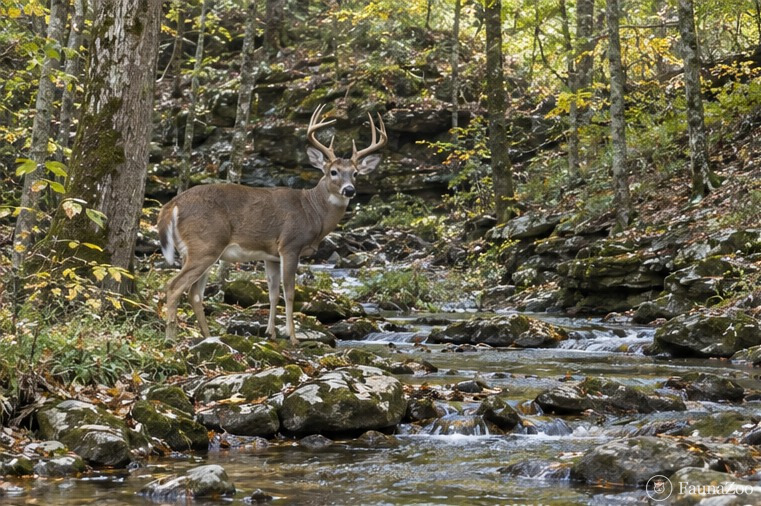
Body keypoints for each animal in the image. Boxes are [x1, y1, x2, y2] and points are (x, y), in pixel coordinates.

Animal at [157, 104, 387, 345]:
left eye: (355, 173)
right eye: (333, 172)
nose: (349, 190)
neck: (312, 211)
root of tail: (172, 204)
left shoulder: (271, 256)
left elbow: (273, 292)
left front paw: (271, 333)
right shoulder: (290, 245)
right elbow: (290, 292)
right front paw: (293, 337)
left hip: (200, 250)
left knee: (194, 293)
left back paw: (208, 336)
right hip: (205, 244)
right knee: (174, 286)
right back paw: (171, 339)